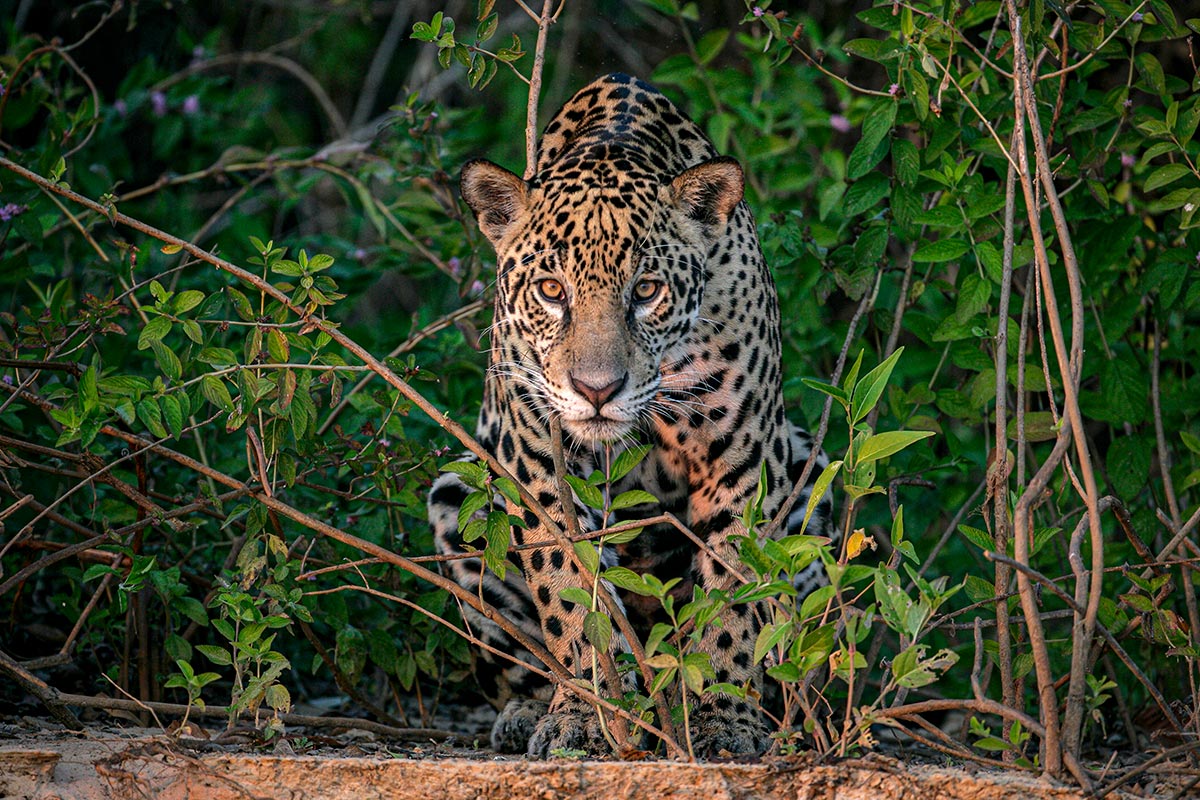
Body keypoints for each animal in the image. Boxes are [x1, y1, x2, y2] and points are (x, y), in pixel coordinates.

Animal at [427, 73, 832, 758]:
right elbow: (570, 590)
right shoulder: (541, 461)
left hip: (810, 471)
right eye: (551, 291)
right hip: (459, 489)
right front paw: (588, 717)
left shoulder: (743, 461)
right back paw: (527, 714)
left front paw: (722, 715)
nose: (596, 389)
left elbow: (735, 597)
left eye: (645, 291)